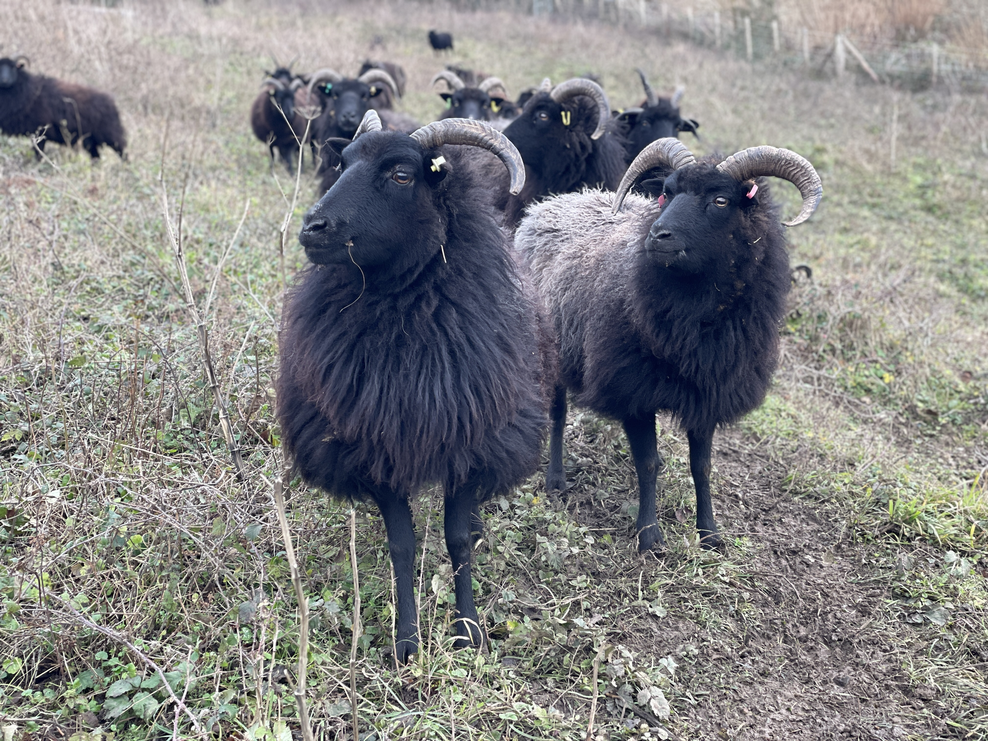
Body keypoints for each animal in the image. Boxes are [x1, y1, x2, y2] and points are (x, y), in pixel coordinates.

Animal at [276, 111, 556, 664]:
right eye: (341, 163)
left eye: (402, 174)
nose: (313, 227)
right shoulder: (376, 447)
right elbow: (401, 544)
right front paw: (407, 640)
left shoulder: (470, 445)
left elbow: (458, 540)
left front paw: (468, 630)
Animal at [512, 137, 824, 548]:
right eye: (667, 193)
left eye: (721, 200)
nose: (657, 235)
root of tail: (552, 203)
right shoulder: (634, 391)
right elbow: (648, 464)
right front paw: (649, 535)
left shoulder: (708, 393)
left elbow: (702, 466)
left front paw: (709, 533)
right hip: (553, 348)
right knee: (558, 413)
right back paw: (556, 479)